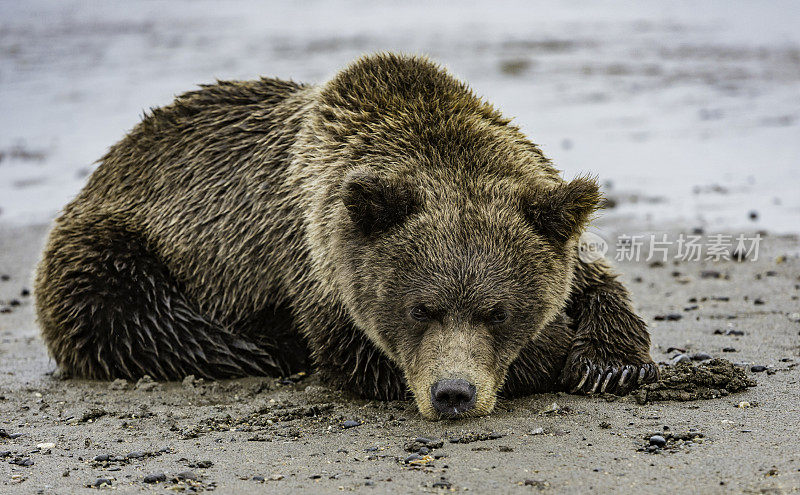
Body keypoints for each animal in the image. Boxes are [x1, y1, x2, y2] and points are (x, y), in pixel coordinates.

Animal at [34, 53, 656, 418]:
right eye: (420, 308)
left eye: (497, 311)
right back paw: (261, 345)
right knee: (142, 316)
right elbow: (358, 353)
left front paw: (610, 363)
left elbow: (598, 283)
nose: (453, 394)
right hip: (116, 244)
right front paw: (553, 348)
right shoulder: (311, 258)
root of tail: (105, 164)